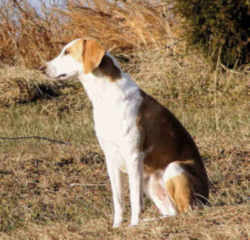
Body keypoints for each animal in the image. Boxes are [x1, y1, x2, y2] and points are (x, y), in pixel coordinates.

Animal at [41, 38, 209, 228]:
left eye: (67, 52)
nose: (42, 68)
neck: (105, 95)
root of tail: (208, 199)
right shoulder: (110, 158)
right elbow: (118, 200)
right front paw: (117, 226)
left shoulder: (133, 156)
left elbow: (135, 200)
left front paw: (133, 225)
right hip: (150, 183)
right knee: (172, 213)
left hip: (174, 168)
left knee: (186, 210)